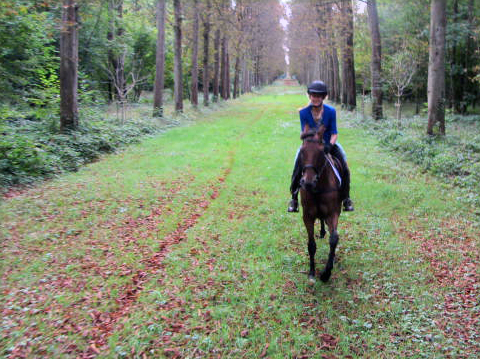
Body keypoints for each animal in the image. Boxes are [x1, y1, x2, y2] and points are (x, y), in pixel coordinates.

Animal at [298, 126, 344, 284]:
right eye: (302, 151)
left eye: (321, 152)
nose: (308, 182)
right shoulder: (307, 216)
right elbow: (311, 245)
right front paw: (312, 272)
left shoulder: (333, 213)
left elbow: (334, 239)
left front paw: (326, 274)